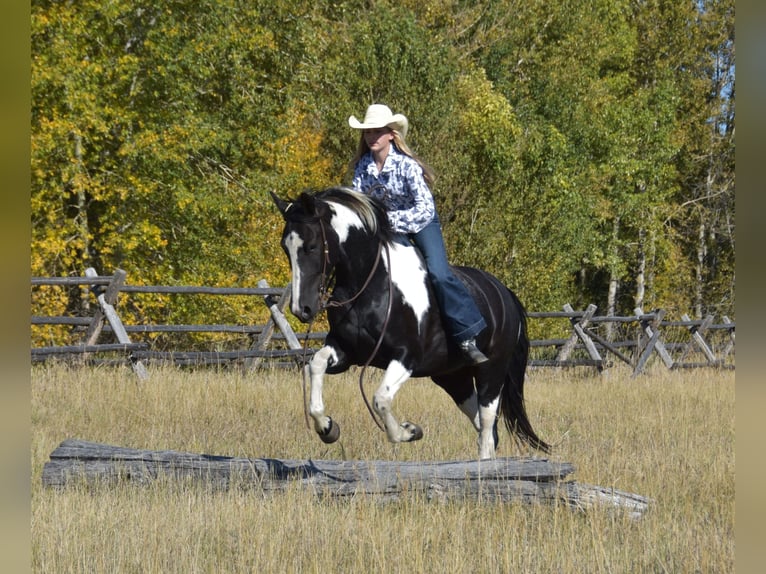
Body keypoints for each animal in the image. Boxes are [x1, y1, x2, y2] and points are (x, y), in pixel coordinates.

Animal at [271, 186, 549, 459]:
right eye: (285, 248)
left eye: (311, 246)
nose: (302, 309)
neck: (371, 285)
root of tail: (505, 295)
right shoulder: (345, 351)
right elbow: (315, 365)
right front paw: (328, 428)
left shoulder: (407, 356)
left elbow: (381, 398)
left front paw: (410, 431)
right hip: (452, 378)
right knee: (484, 427)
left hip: (491, 371)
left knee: (488, 421)